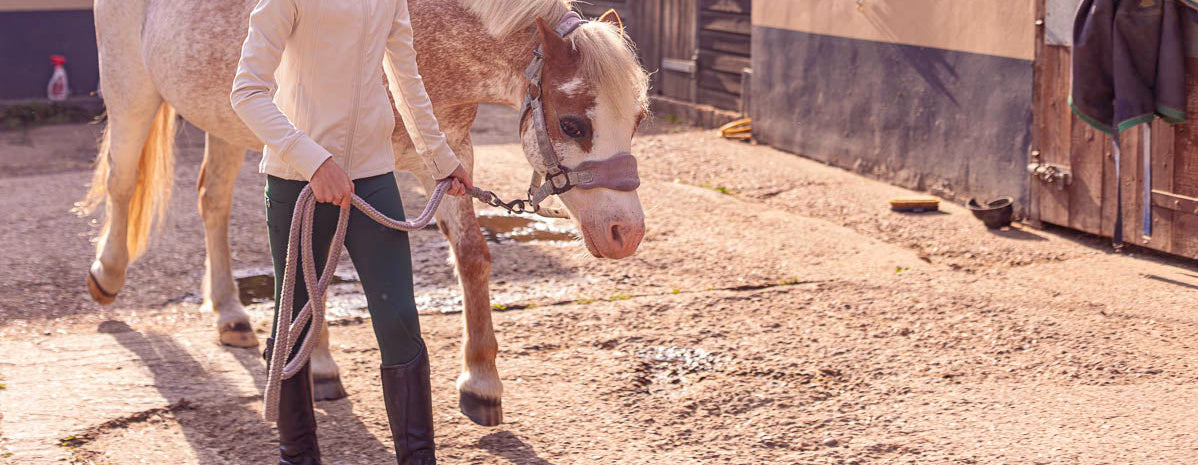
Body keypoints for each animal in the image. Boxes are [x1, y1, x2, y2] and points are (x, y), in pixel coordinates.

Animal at [79, 0, 649, 426]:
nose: (626, 232)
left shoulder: (449, 156)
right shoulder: (322, 169)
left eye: (639, 118)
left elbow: (472, 255)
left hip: (225, 117)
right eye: (573, 124)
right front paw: (319, 369)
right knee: (122, 178)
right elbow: (311, 266)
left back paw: (230, 314)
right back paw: (106, 275)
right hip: (132, 91)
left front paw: (481, 383)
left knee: (211, 199)